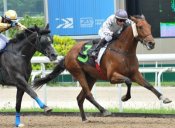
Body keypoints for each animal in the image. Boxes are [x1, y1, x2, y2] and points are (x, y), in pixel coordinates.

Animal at [32, 15, 171, 121]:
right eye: (140, 27)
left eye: (150, 26)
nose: (151, 43)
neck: (123, 51)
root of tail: (67, 55)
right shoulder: (112, 77)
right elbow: (128, 81)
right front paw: (124, 98)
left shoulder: (135, 73)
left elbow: (149, 85)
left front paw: (164, 98)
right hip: (78, 73)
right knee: (88, 94)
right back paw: (104, 111)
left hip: (91, 77)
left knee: (80, 97)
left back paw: (84, 119)